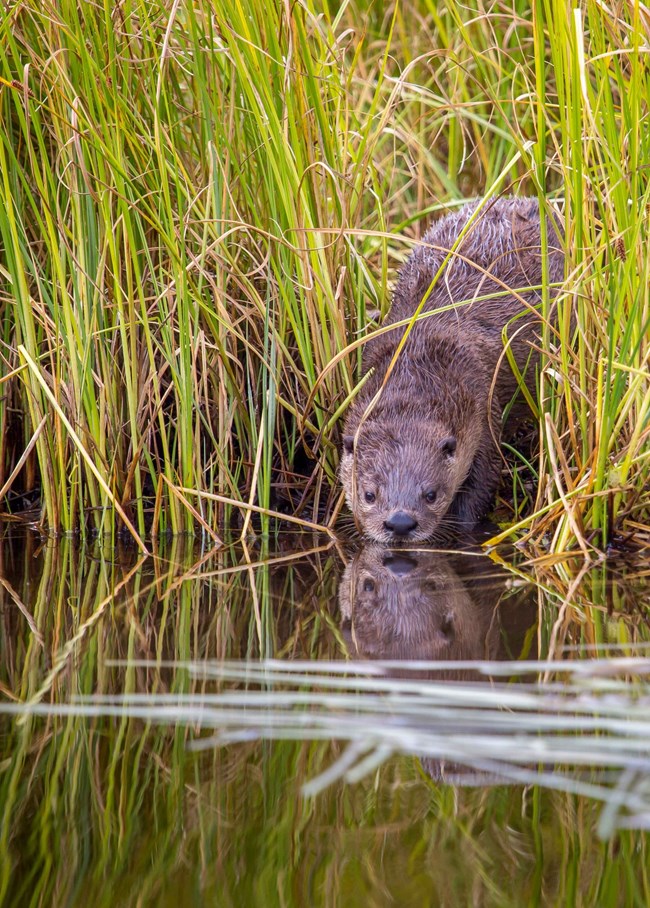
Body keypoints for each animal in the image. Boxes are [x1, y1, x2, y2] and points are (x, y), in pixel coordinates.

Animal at [340, 196, 564, 542]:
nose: (400, 522)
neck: (417, 362)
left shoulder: (482, 413)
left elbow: (482, 483)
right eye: (369, 494)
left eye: (431, 494)